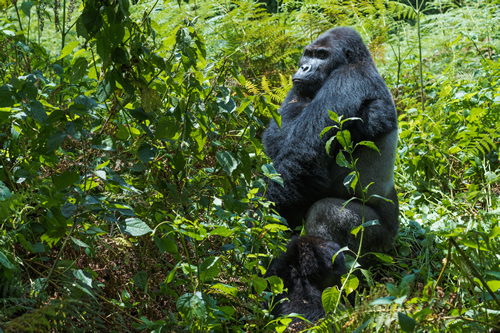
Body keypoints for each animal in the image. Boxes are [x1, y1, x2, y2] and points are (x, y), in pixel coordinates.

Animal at [262, 26, 398, 322]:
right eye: (308, 53)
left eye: (321, 56)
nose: (303, 66)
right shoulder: (299, 89)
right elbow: (279, 139)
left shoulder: (347, 79)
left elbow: (301, 161)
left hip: (382, 243)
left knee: (326, 213)